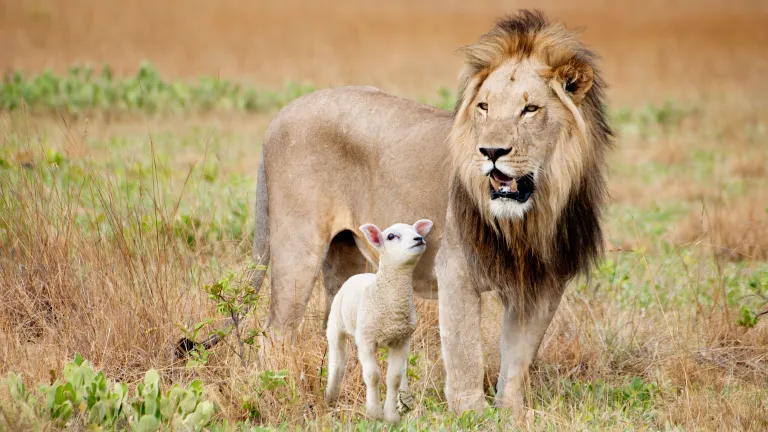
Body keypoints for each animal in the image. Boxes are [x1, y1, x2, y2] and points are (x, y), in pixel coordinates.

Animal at [324, 219, 433, 423]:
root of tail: (360, 275)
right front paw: (374, 413)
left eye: (415, 231)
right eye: (391, 236)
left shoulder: (402, 340)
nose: (419, 238)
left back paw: (404, 402)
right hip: (335, 325)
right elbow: (373, 375)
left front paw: (391, 417)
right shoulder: (366, 340)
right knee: (337, 360)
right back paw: (330, 397)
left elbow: (394, 378)